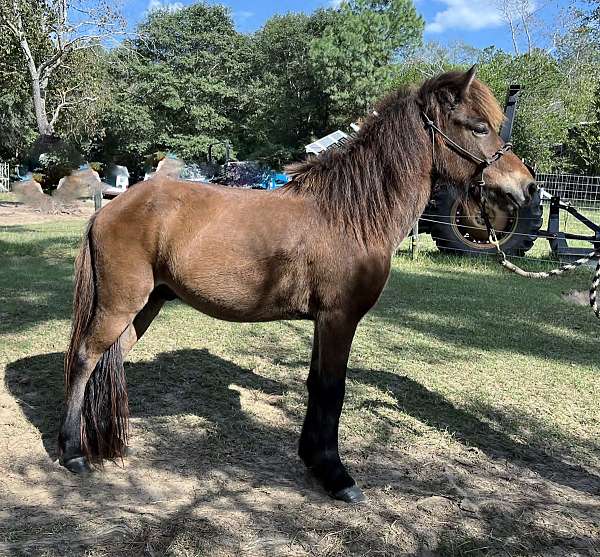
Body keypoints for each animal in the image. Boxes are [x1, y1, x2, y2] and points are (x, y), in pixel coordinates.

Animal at [57, 66, 536, 504]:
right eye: (479, 127)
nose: (528, 187)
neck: (349, 215)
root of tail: (109, 208)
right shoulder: (340, 319)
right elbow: (332, 389)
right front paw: (337, 476)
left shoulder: (325, 321)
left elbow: (315, 384)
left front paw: (313, 459)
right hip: (120, 303)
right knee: (84, 358)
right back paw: (73, 452)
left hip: (146, 305)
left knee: (109, 360)